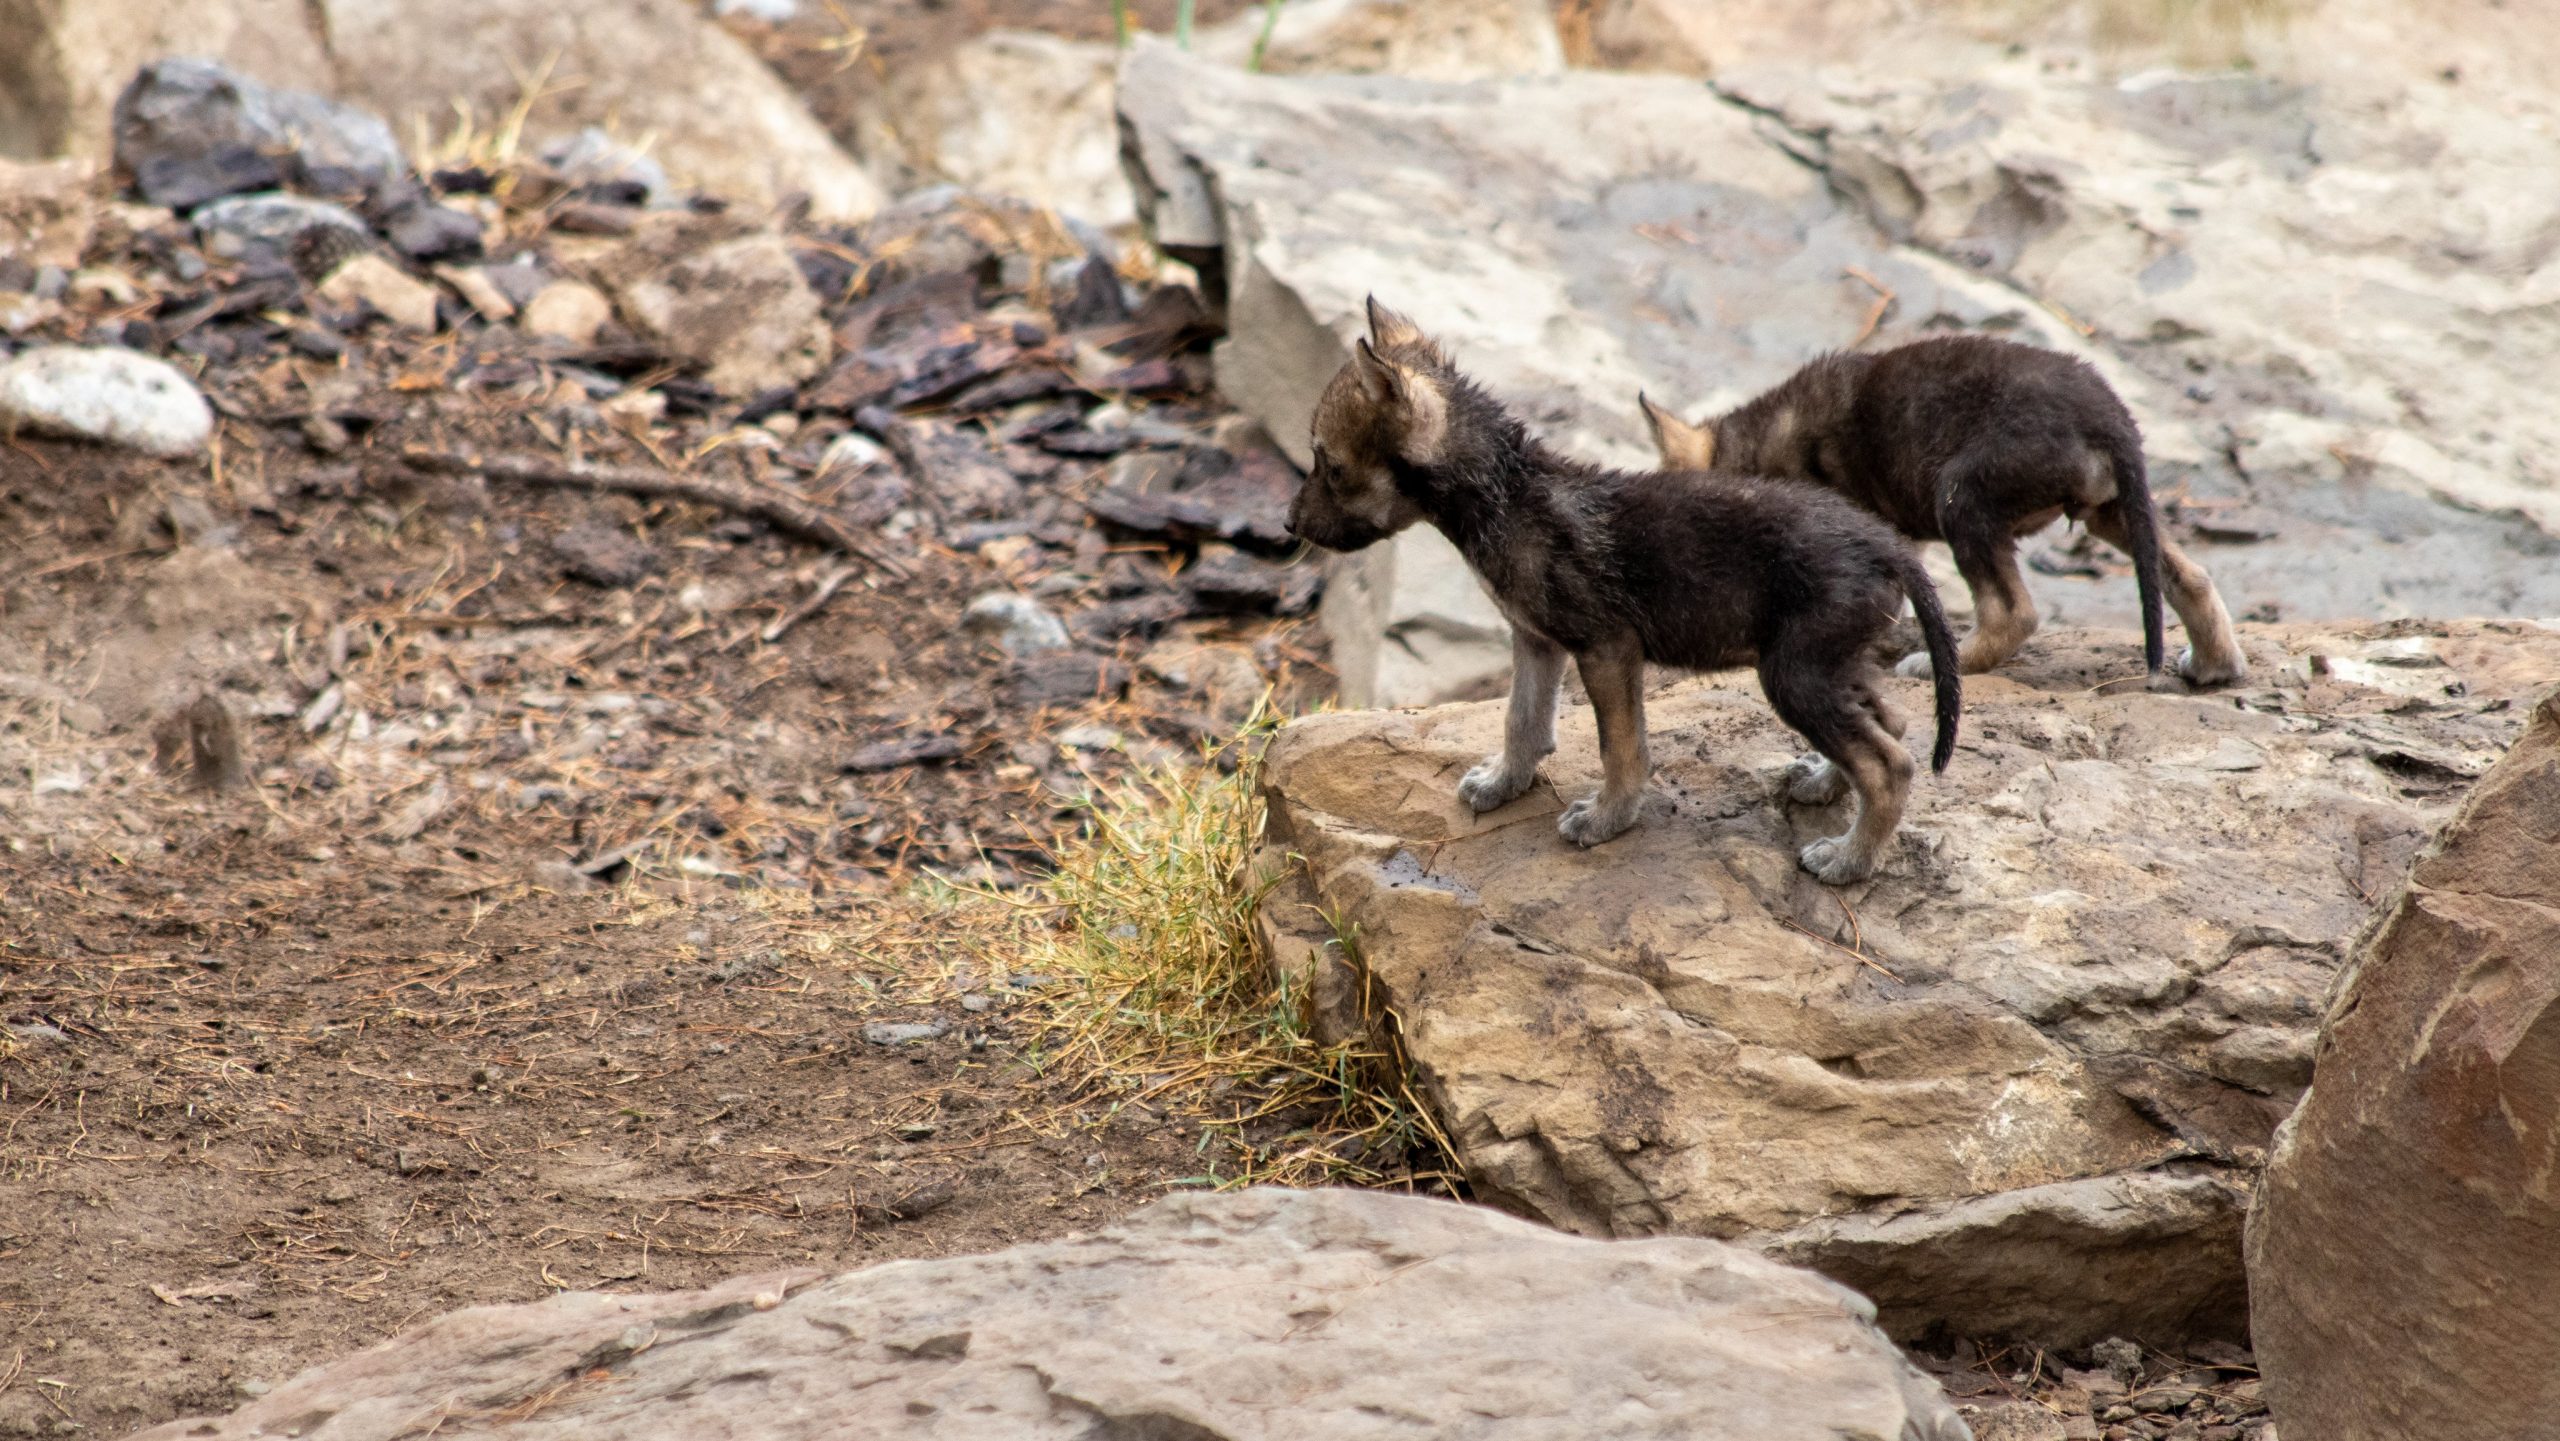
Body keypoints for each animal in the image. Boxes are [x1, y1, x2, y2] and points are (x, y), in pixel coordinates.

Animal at [1288, 299, 1961, 885]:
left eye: (1331, 467)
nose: (1289, 526)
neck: (1510, 499)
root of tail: (1886, 544)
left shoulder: (1607, 649)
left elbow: (1622, 750)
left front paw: (1606, 820)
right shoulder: (1536, 641)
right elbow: (1521, 723)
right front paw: (1503, 785)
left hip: (1795, 673)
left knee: (1890, 765)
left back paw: (1848, 862)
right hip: (1832, 665)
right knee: (1892, 723)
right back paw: (1824, 783)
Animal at [1639, 335, 2248, 685]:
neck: (1754, 452)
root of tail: (2110, 416)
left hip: (1963, 496)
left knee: (2012, 612)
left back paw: (1940, 665)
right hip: (2114, 508)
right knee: (2190, 576)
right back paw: (2216, 667)